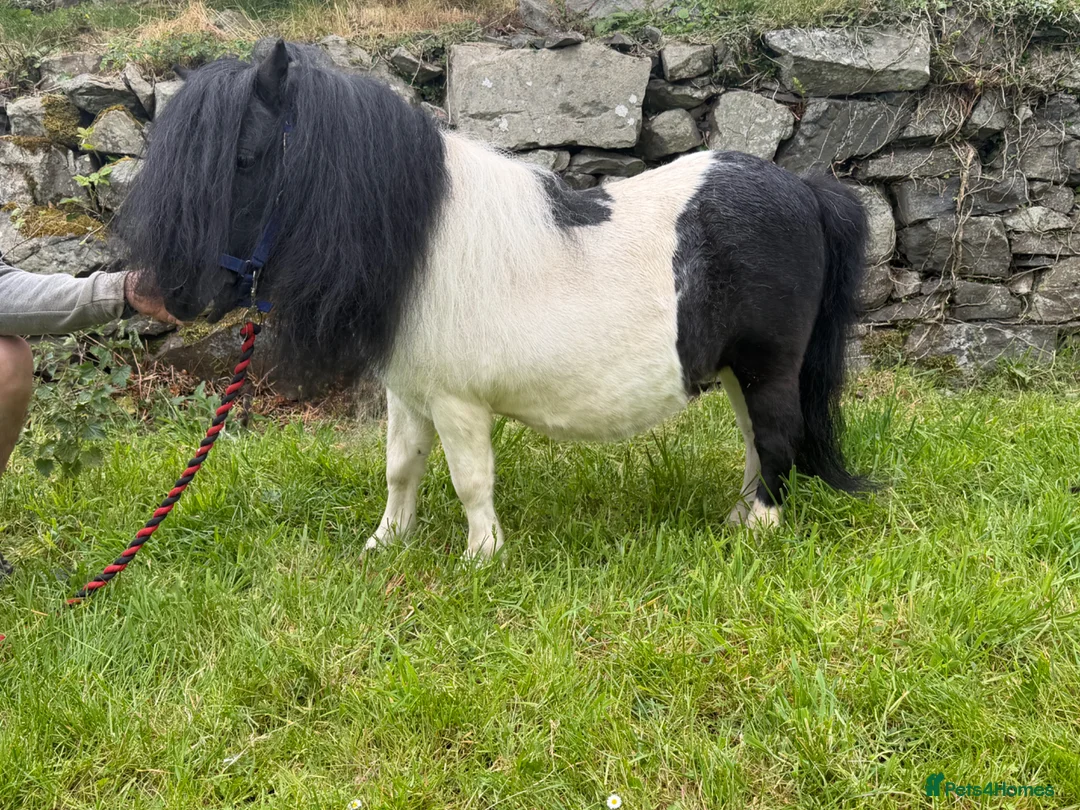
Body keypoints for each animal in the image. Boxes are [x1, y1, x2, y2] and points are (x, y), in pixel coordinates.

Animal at [116, 40, 872, 560]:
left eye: (244, 156)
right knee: (754, 440)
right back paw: (740, 516)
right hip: (738, 369)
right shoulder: (408, 393)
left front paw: (482, 558)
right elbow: (401, 470)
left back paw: (758, 529)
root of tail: (807, 190)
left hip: (767, 366)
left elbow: (470, 479)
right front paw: (385, 544)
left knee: (775, 437)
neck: (418, 241)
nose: (157, 295)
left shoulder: (457, 402)